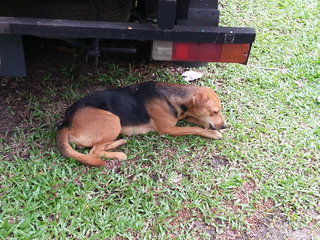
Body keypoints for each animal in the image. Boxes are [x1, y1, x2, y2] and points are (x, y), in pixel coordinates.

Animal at [57, 80, 225, 167]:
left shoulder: (181, 116)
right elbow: (194, 128)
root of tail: (65, 123)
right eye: (215, 111)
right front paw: (211, 133)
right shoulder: (168, 129)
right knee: (94, 152)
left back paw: (120, 142)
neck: (172, 95)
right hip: (114, 120)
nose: (225, 126)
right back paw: (118, 153)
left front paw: (206, 125)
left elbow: (195, 120)